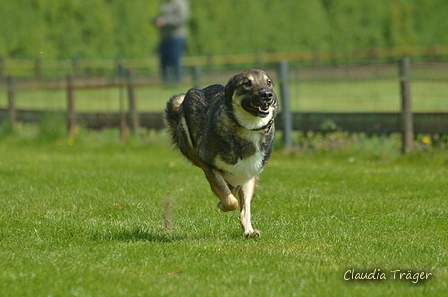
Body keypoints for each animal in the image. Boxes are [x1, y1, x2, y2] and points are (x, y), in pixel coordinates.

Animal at [164, 69, 276, 236]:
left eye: (268, 82)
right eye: (247, 83)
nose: (267, 95)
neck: (247, 128)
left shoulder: (250, 172)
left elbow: (241, 204)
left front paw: (247, 229)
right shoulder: (207, 164)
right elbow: (230, 200)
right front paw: (222, 204)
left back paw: (249, 230)